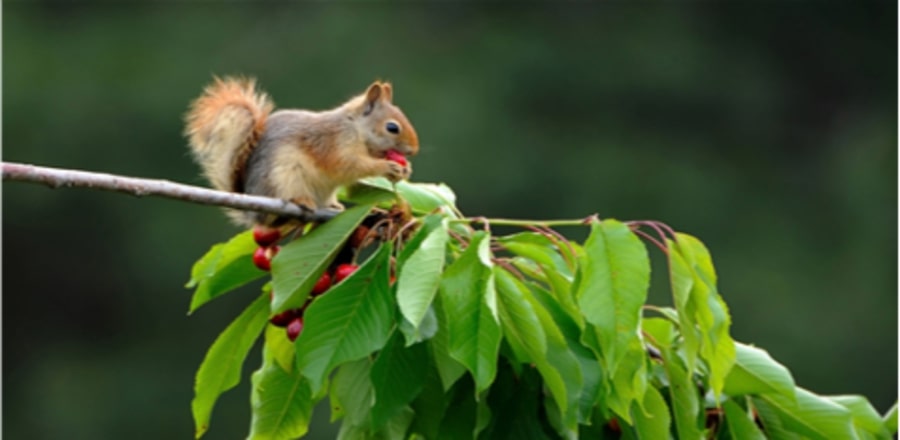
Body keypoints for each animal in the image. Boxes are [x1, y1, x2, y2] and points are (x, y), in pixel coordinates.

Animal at [185, 76, 422, 227]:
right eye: (392, 127)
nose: (414, 150)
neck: (354, 127)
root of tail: (254, 214)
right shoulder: (333, 144)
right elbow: (349, 165)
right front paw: (386, 166)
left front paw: (405, 169)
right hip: (283, 177)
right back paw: (301, 201)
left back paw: (333, 205)